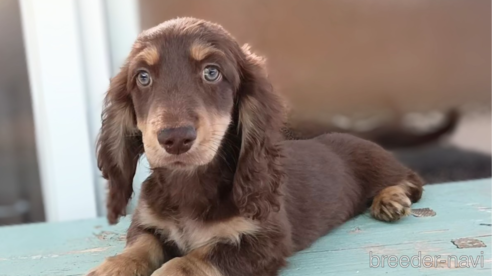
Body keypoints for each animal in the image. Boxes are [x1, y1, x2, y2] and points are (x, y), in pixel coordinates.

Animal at [87, 17, 422, 276]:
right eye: (142, 77)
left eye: (212, 72)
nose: (175, 138)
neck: (190, 185)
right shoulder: (148, 224)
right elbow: (140, 246)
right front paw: (114, 266)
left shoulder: (265, 239)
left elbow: (194, 260)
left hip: (377, 163)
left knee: (412, 180)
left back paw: (391, 199)